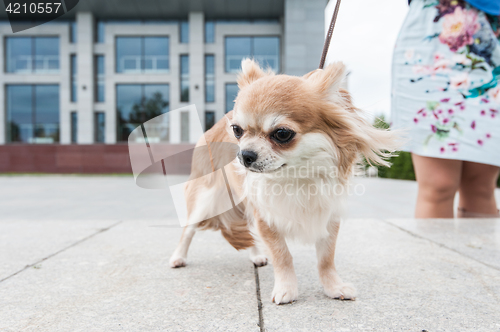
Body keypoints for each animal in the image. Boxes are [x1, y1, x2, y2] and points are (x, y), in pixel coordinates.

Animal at [168, 59, 398, 304]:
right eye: (237, 131)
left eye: (282, 134)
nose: (244, 155)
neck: (296, 176)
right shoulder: (266, 216)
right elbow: (282, 254)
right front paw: (286, 289)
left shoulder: (328, 215)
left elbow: (326, 258)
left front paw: (333, 287)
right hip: (205, 199)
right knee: (188, 230)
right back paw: (178, 257)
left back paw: (256, 255)